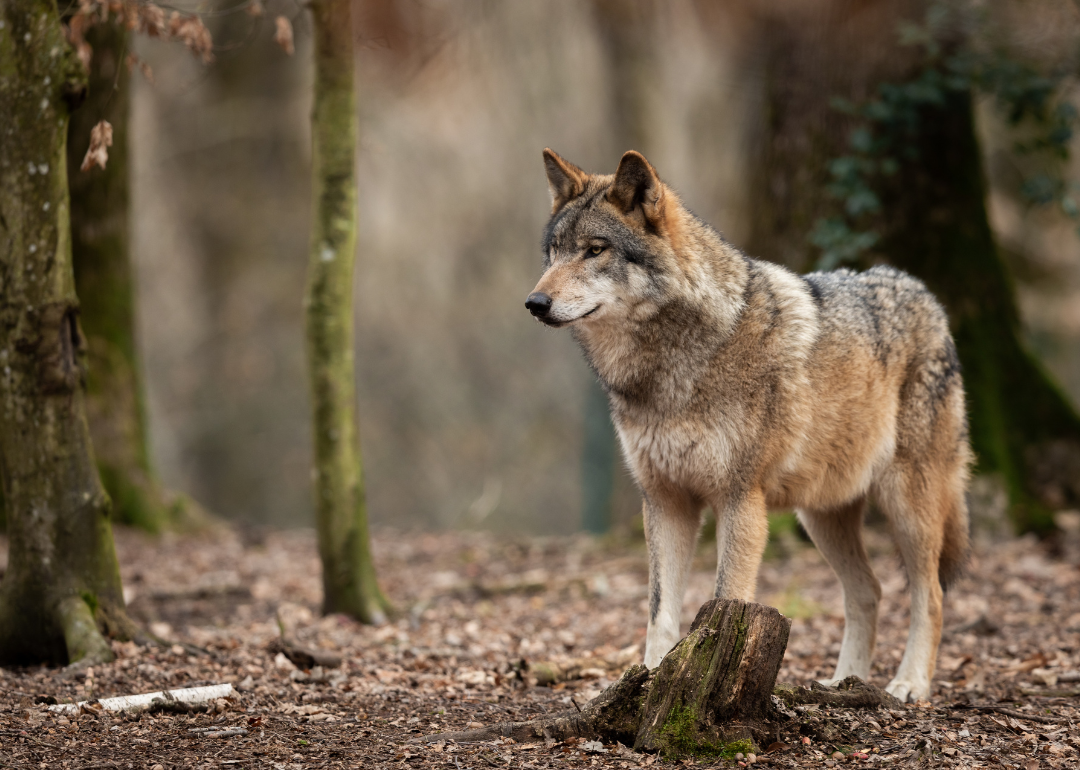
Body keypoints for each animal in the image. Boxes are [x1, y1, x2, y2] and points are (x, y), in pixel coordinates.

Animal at [527, 146, 976, 699]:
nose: (535, 303)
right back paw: (843, 683)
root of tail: (926, 295)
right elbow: (659, 612)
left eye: (595, 250)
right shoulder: (665, 501)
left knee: (930, 595)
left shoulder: (740, 499)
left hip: (907, 506)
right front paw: (650, 682)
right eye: (553, 253)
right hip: (820, 516)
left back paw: (909, 685)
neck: (671, 368)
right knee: (869, 591)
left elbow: (725, 600)